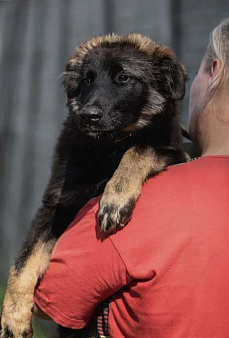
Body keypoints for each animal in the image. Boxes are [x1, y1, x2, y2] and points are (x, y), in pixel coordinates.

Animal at [0, 32, 186, 338]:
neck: (107, 148)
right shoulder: (56, 204)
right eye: (88, 80)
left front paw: (115, 199)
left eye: (123, 77)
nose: (88, 116)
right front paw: (13, 317)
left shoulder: (170, 152)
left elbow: (139, 148)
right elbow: (24, 259)